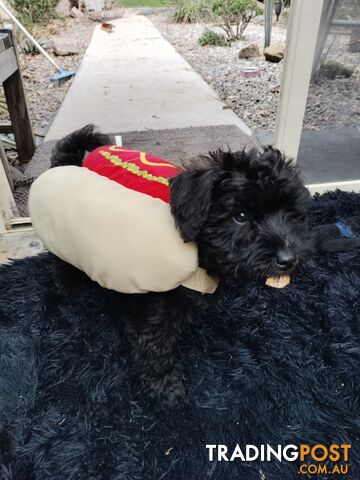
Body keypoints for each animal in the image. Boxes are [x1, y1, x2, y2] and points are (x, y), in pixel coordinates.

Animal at [50, 124, 312, 402]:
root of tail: (65, 164)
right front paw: (164, 385)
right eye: (240, 216)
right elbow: (156, 343)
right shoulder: (158, 303)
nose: (288, 259)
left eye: (291, 214)